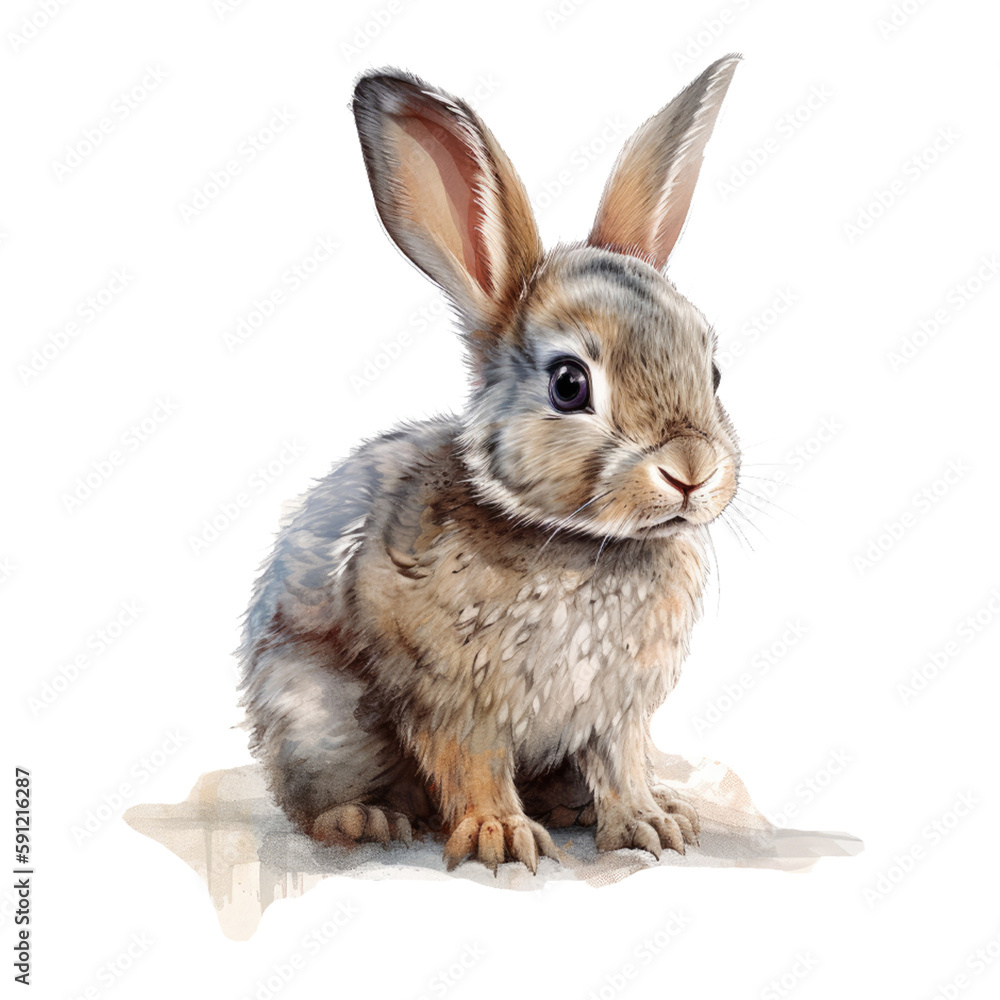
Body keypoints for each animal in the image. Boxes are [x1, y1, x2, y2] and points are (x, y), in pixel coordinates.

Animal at [238, 54, 743, 874]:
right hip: (316, 721)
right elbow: (471, 762)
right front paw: (500, 838)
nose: (691, 471)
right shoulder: (451, 699)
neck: (581, 543)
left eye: (714, 370)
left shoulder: (617, 712)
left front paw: (648, 826)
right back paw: (365, 819)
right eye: (569, 383)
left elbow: (621, 763)